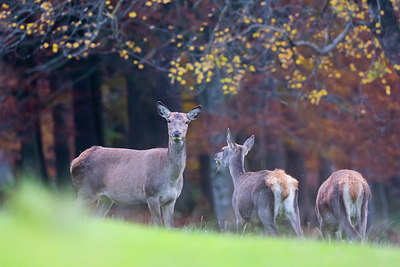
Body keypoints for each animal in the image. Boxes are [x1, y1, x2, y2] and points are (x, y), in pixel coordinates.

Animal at [70, 101, 202, 227]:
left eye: (187, 122)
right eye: (169, 120)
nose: (176, 133)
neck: (171, 177)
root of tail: (74, 163)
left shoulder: (171, 199)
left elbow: (170, 227)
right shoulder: (151, 195)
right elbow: (159, 226)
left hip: (105, 198)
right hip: (87, 189)